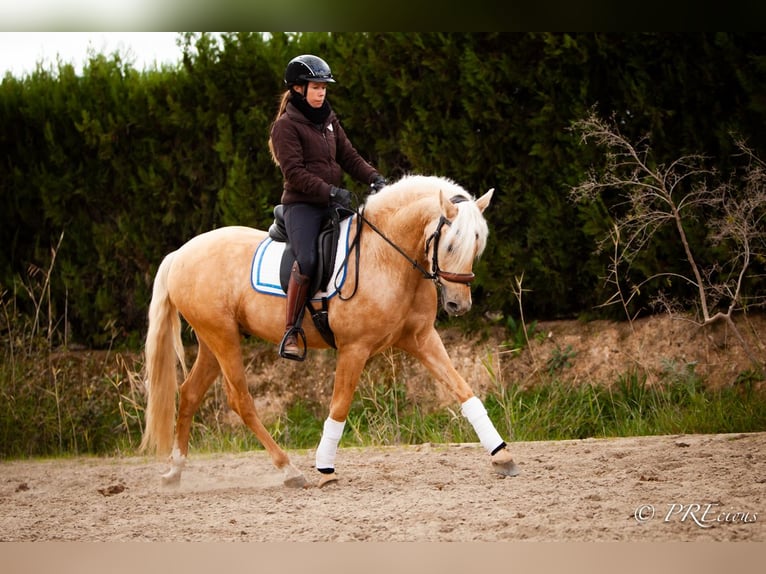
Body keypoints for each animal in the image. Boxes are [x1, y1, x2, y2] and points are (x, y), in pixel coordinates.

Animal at [140, 173, 520, 488]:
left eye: (477, 244)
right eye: (450, 244)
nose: (459, 305)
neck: (386, 256)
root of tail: (180, 253)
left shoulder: (422, 339)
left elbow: (463, 390)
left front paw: (501, 454)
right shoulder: (354, 348)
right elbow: (339, 406)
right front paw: (325, 469)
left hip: (213, 339)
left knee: (189, 394)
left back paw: (175, 472)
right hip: (222, 338)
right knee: (240, 400)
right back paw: (289, 470)